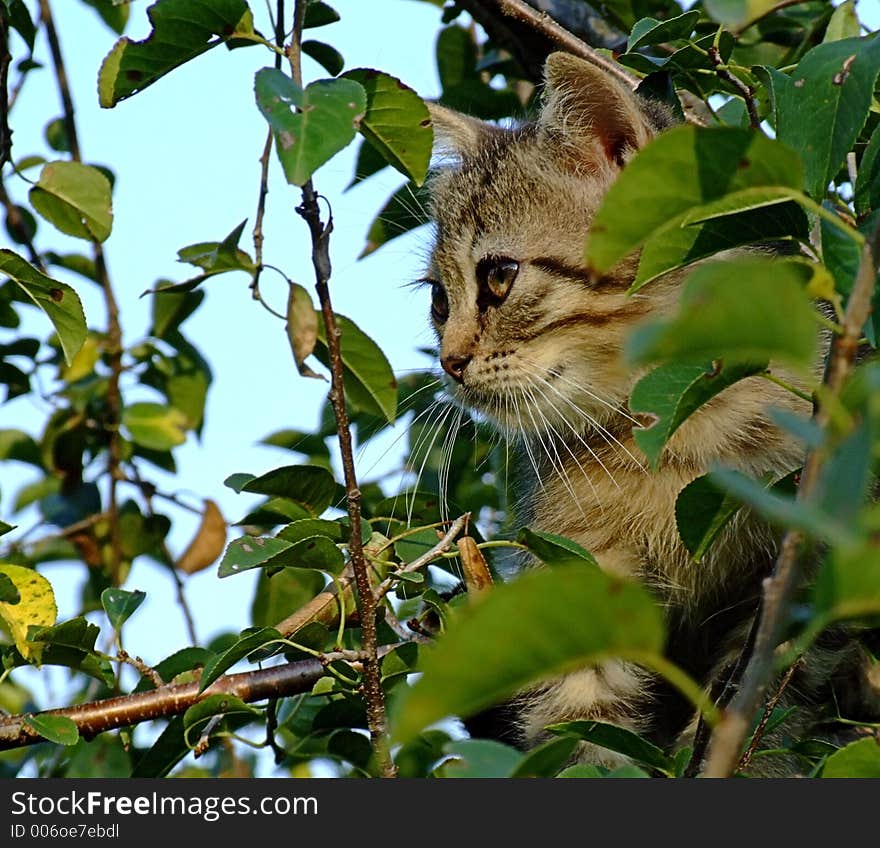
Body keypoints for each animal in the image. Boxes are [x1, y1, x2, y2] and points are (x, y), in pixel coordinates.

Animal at [422, 49, 876, 772]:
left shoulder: (810, 551)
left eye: (499, 277)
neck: (664, 428)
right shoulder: (578, 567)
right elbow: (581, 725)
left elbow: (767, 692)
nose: (449, 362)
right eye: (439, 299)